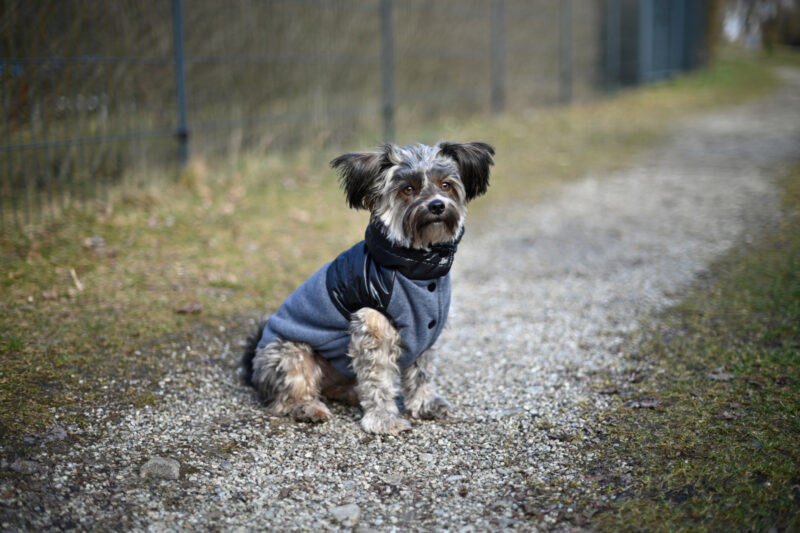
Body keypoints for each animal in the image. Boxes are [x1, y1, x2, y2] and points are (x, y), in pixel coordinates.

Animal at [242, 140, 494, 432]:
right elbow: (378, 382)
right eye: (408, 189)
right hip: (292, 352)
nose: (437, 206)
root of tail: (252, 363)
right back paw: (307, 408)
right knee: (287, 397)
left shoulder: (426, 331)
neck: (416, 268)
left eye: (445, 185)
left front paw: (424, 405)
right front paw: (384, 420)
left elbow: (422, 373)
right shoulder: (373, 330)